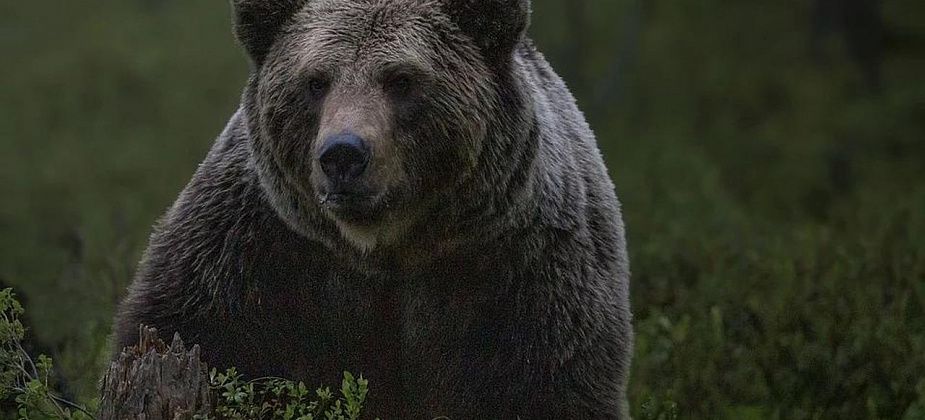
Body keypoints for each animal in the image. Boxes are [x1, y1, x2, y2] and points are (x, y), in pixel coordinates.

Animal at [113, 0, 633, 418]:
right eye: (315, 81)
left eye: (401, 80)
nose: (343, 154)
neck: (386, 246)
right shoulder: (254, 252)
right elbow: (197, 335)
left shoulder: (523, 272)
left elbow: (546, 386)